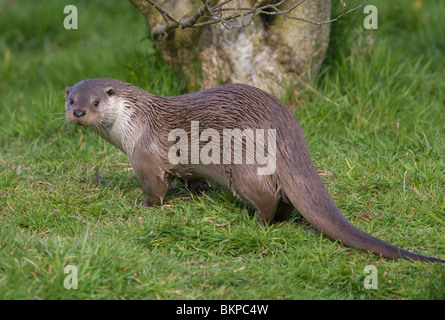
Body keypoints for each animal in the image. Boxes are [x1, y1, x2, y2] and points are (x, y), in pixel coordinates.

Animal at [64, 77, 442, 262]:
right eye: (70, 100)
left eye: (95, 101)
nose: (78, 113)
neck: (134, 123)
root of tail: (287, 133)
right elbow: (192, 178)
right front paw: (196, 194)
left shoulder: (144, 158)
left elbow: (155, 189)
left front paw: (143, 206)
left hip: (241, 167)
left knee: (268, 197)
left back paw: (256, 223)